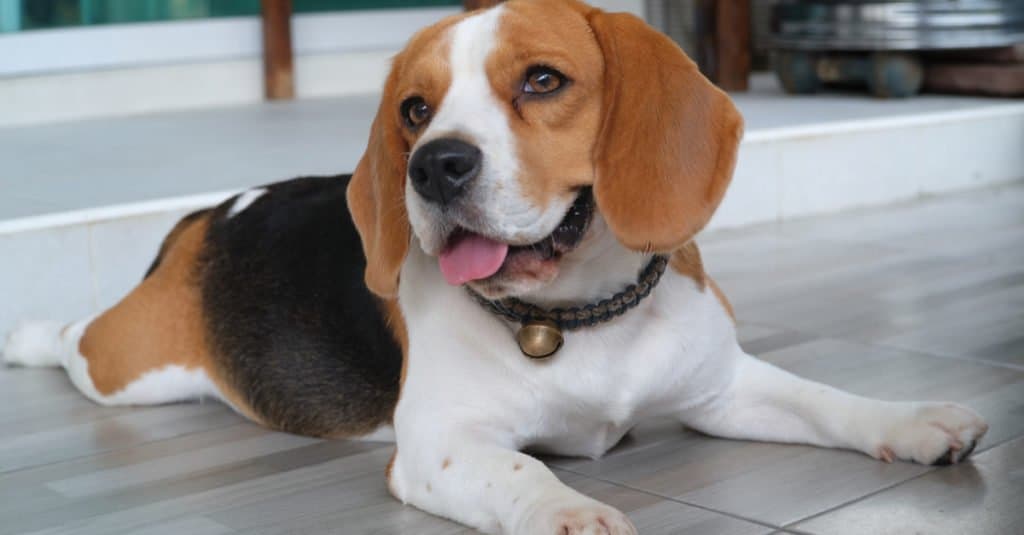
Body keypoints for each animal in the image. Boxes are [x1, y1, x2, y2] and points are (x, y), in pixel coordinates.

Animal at [2, 1, 991, 532]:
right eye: (414, 107)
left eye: (543, 81)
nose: (433, 166)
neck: (578, 314)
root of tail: (212, 212)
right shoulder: (440, 445)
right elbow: (525, 472)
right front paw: (571, 510)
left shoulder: (724, 389)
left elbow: (829, 399)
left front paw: (917, 420)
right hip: (131, 368)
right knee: (74, 336)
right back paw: (27, 333)